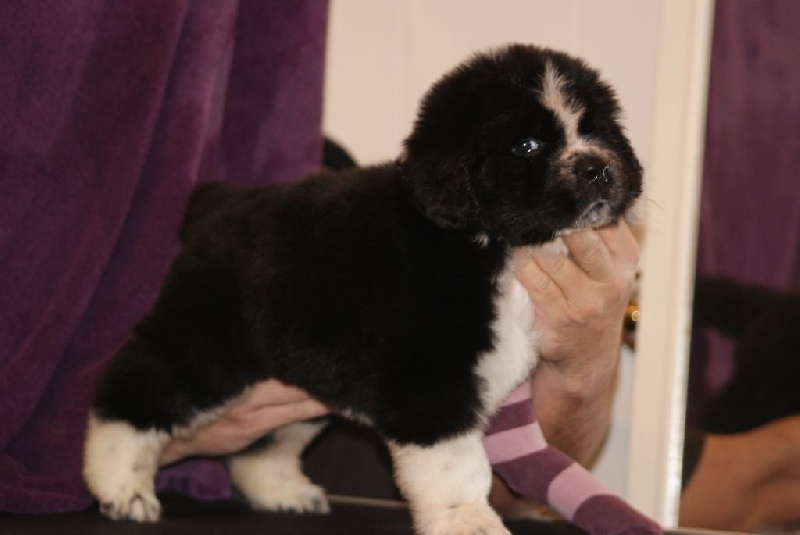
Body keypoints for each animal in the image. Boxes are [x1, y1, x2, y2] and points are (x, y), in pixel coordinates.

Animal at [83, 43, 642, 535]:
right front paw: (467, 521)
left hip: (304, 378)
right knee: (138, 389)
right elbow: (457, 466)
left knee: (264, 446)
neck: (486, 241)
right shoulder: (431, 379)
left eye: (594, 129)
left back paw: (280, 489)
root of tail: (218, 202)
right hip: (206, 341)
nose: (597, 168)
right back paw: (120, 484)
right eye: (526, 146)